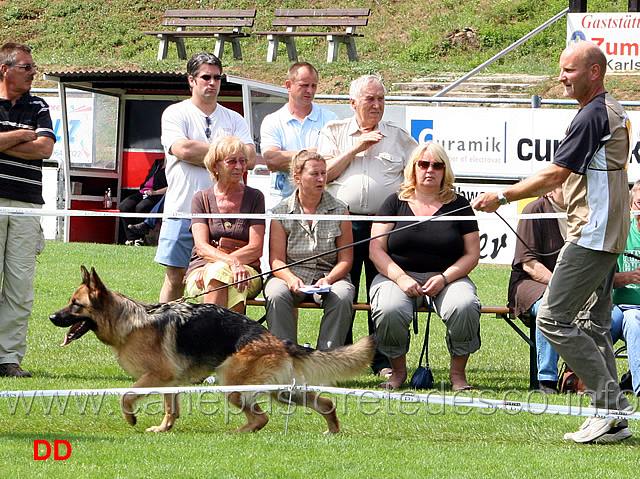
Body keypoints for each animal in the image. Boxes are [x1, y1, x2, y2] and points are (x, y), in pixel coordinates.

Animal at [50, 266, 376, 436]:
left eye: (75, 306)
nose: (52, 317)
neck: (129, 321)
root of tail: (277, 340)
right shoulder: (170, 381)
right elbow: (170, 408)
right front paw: (165, 428)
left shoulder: (156, 376)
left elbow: (126, 396)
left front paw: (131, 418)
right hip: (281, 391)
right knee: (324, 402)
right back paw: (332, 430)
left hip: (234, 387)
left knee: (260, 419)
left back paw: (237, 434)